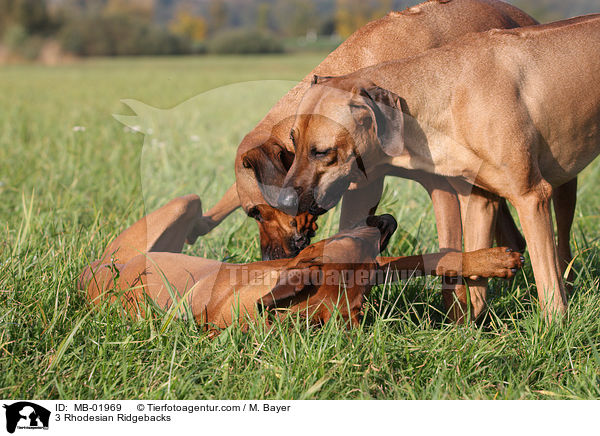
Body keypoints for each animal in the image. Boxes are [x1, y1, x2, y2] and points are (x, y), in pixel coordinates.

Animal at [81, 196, 524, 328]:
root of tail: (93, 270)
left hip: (176, 211)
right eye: (351, 239)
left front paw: (488, 260)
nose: (383, 220)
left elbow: (428, 258)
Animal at [276, 14, 600, 320]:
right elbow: (474, 279)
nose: (283, 201)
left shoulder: (531, 197)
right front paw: (472, 326)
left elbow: (548, 286)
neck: (450, 95)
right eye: (293, 141)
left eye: (322, 152)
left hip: (562, 184)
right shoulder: (481, 201)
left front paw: (554, 328)